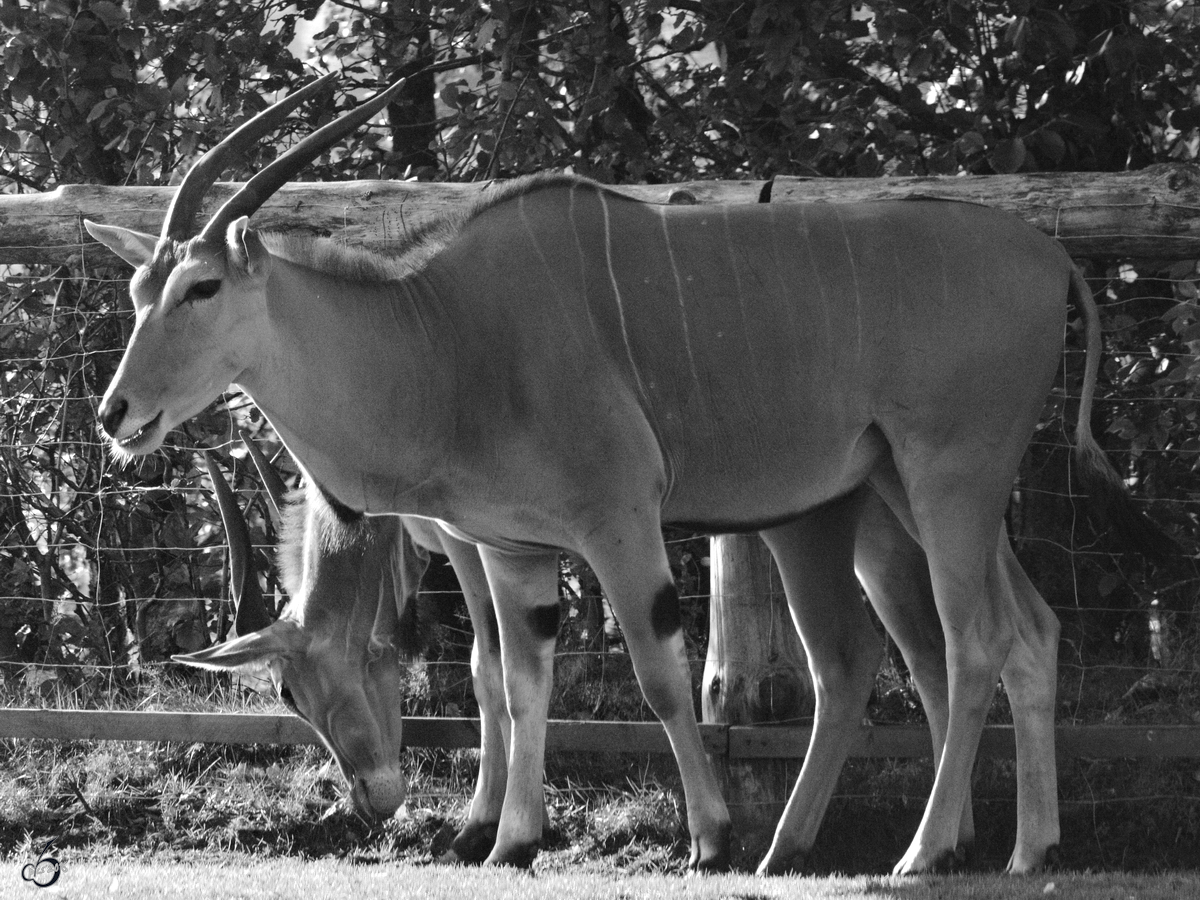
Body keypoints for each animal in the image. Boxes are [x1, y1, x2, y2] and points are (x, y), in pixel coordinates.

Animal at [82, 74, 1161, 878]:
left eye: (201, 286)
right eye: (138, 289)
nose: (116, 414)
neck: (444, 336)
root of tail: (1048, 257)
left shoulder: (616, 523)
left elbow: (654, 673)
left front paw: (708, 837)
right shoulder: (510, 549)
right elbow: (518, 678)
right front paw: (510, 840)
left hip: (950, 482)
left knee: (975, 641)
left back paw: (920, 851)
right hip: (907, 496)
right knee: (1023, 633)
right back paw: (1017, 848)